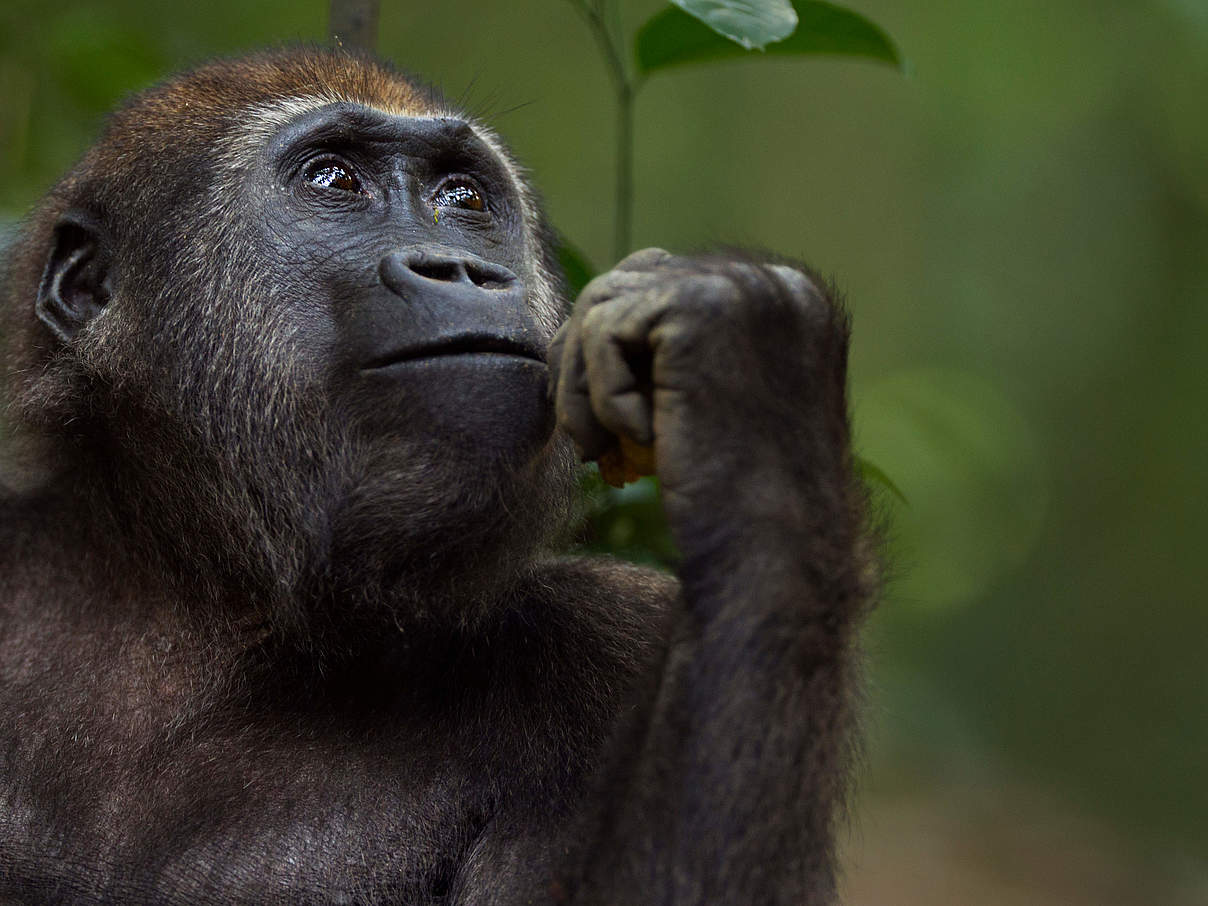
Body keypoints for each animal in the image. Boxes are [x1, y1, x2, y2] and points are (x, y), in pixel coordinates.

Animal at [0, 49, 869, 906]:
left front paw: (754, 382)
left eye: (463, 197)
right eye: (333, 181)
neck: (201, 587)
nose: (460, 268)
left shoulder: (622, 639)